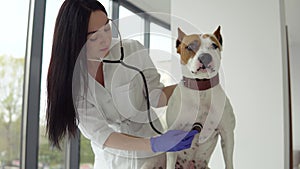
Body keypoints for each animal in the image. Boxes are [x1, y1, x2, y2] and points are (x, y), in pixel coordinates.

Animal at [166, 26, 234, 169]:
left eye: (214, 45)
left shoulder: (227, 133)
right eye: (190, 47)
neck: (201, 90)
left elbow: (229, 162)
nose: (205, 57)